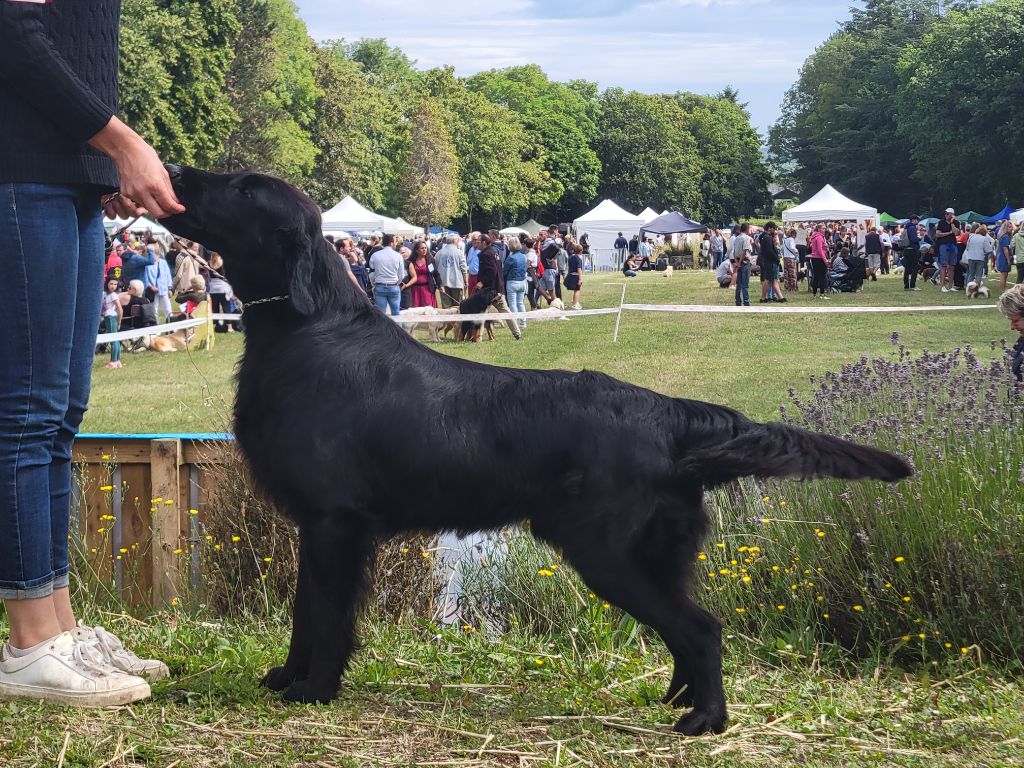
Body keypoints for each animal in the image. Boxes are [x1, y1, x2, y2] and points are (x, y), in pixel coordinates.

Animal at [159, 165, 913, 737]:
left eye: (245, 189)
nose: (175, 170)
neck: (304, 328)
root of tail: (669, 413)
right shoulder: (319, 525)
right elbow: (301, 612)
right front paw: (286, 677)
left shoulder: (334, 521)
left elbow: (325, 614)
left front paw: (313, 688)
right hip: (654, 551)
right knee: (686, 629)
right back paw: (679, 699)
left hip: (605, 549)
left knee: (701, 629)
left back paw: (705, 720)